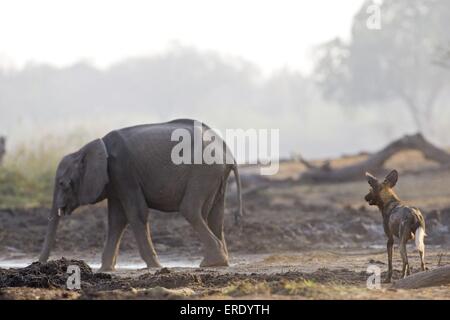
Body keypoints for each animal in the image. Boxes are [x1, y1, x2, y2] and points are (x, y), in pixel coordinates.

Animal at [38, 119, 243, 272]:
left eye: (63, 184)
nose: (38, 265)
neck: (86, 149)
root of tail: (227, 150)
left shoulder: (123, 171)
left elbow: (137, 213)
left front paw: (155, 266)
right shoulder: (114, 181)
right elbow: (116, 220)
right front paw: (106, 270)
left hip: (204, 170)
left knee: (190, 210)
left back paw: (211, 262)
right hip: (215, 175)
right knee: (215, 215)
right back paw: (220, 262)